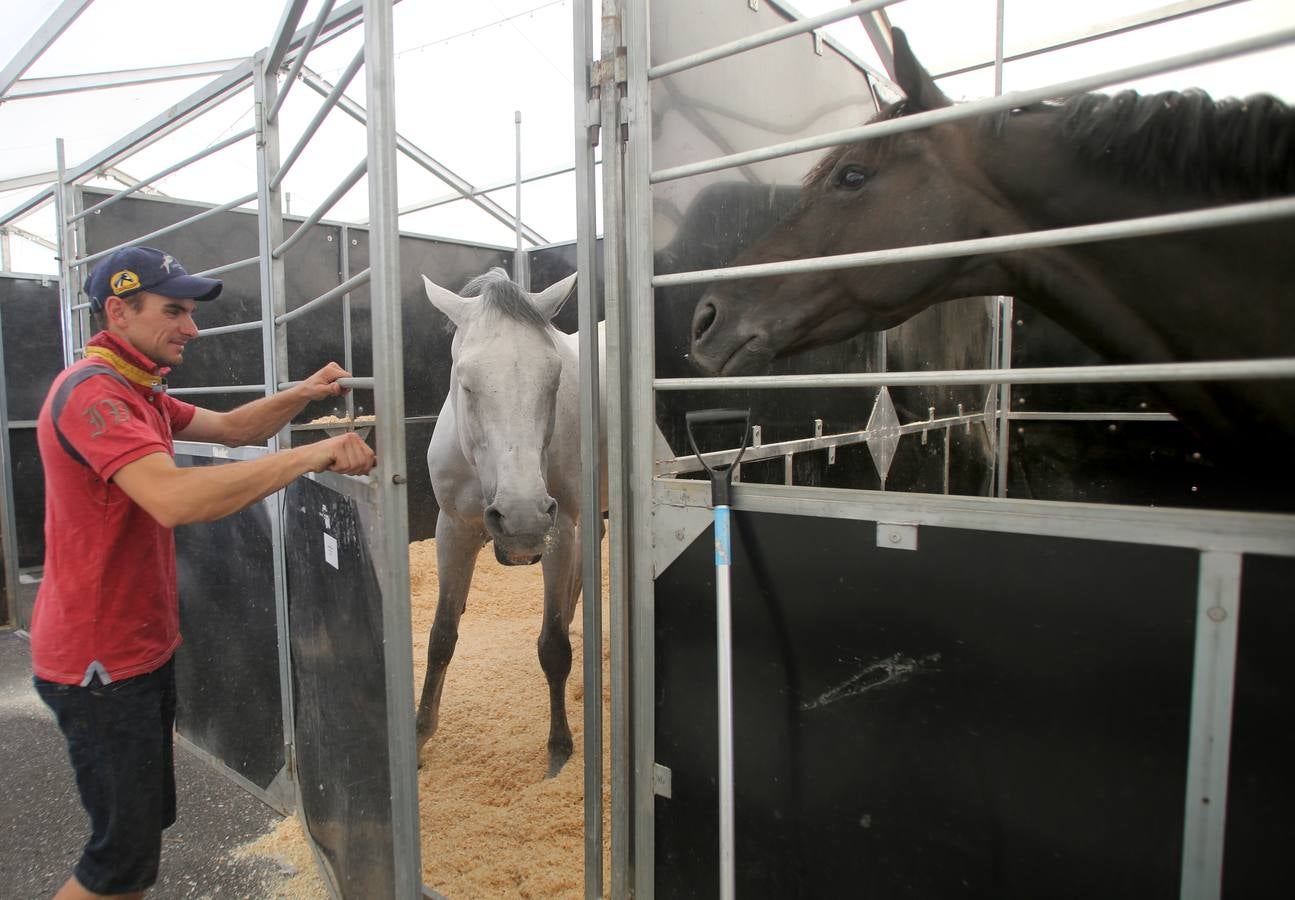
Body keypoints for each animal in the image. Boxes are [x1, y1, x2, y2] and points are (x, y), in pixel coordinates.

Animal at [416, 264, 603, 776]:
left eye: (554, 380)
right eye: (466, 382)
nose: (521, 516)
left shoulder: (559, 531)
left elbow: (553, 647)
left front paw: (559, 750)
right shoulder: (453, 530)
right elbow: (442, 636)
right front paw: (419, 736)